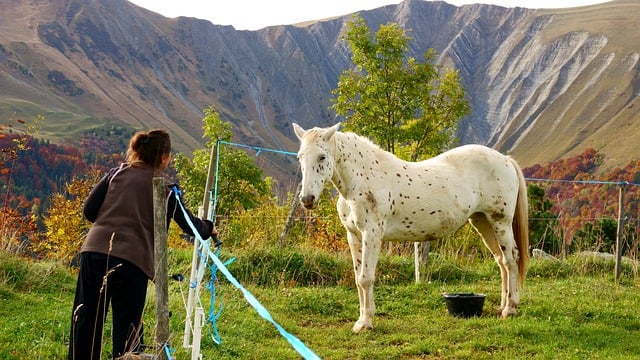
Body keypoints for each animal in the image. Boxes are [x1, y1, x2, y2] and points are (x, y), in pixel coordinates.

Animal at [292, 122, 528, 334]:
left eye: (322, 157)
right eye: (300, 157)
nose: (307, 199)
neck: (363, 179)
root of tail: (505, 160)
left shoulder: (372, 234)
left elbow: (365, 278)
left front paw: (366, 323)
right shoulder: (354, 236)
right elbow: (359, 279)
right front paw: (361, 319)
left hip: (500, 221)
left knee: (511, 259)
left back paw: (510, 308)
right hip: (482, 221)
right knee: (501, 260)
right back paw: (501, 306)